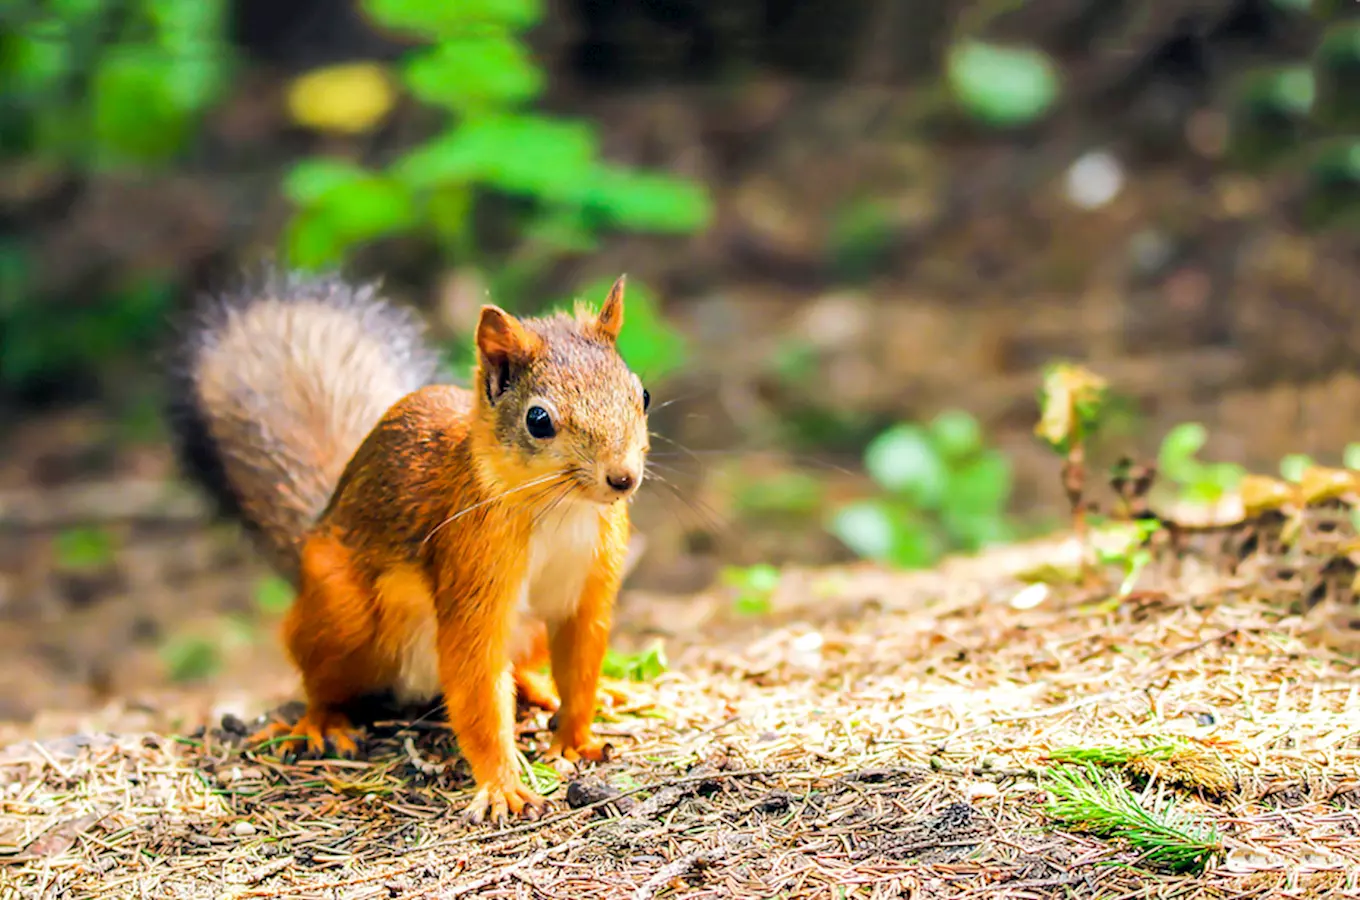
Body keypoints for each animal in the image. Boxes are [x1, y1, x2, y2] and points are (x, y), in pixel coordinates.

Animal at [167, 267, 650, 826]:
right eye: (539, 420)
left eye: (642, 394)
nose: (622, 479)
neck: (562, 511)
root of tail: (315, 530)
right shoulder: (470, 566)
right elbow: (476, 680)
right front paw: (503, 785)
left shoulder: (590, 587)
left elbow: (580, 664)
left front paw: (575, 738)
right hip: (342, 613)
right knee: (320, 678)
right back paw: (321, 722)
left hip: (524, 632)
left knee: (525, 665)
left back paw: (542, 688)